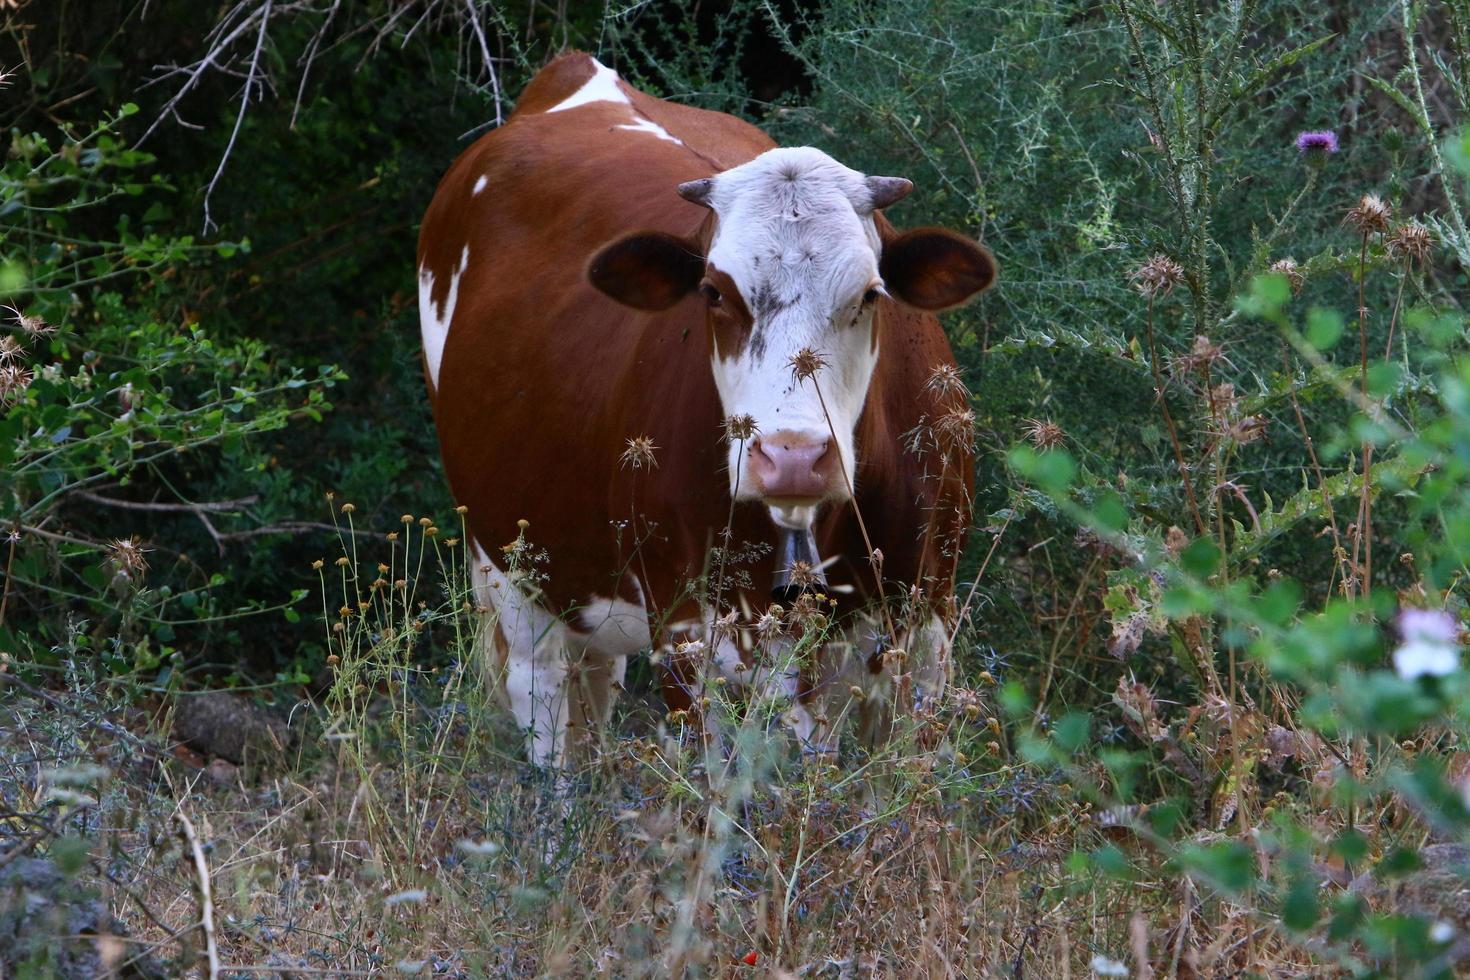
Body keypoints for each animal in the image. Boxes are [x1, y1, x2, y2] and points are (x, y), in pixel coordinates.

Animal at [420, 51, 993, 775]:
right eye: (714, 293)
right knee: (547, 713)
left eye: (870, 293)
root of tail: (575, 74)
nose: (793, 457)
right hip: (512, 572)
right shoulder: (688, 635)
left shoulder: (925, 626)